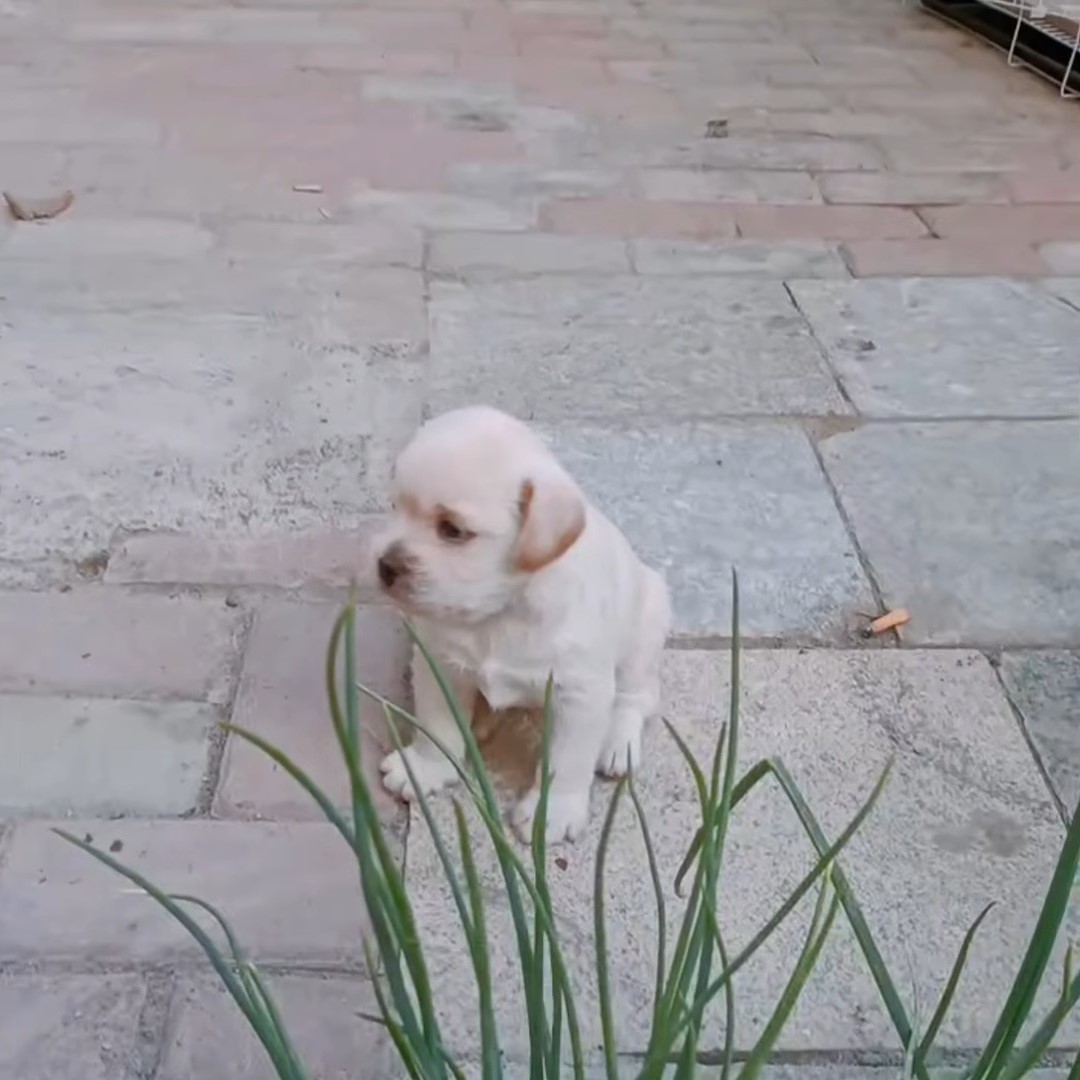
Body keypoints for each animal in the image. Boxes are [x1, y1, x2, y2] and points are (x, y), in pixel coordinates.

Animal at [375, 406, 669, 842]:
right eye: (395, 506)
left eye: (452, 530)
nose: (384, 566)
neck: (501, 612)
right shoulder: (438, 663)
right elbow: (437, 724)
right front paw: (427, 767)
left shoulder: (578, 695)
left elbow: (567, 760)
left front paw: (554, 812)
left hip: (644, 633)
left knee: (637, 697)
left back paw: (618, 741)